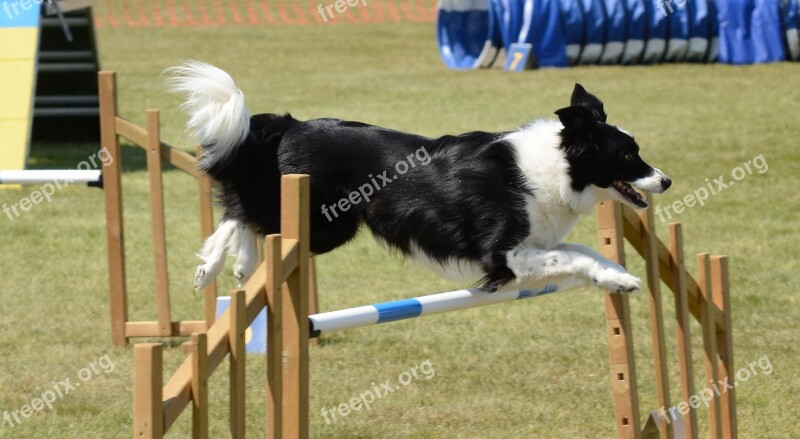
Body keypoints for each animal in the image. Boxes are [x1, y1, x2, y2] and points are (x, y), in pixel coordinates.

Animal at [167, 61, 668, 296]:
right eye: (628, 155)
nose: (665, 181)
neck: (557, 167)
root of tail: (292, 124)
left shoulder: (534, 244)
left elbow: (583, 250)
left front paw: (617, 275)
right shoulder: (502, 254)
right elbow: (575, 256)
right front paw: (621, 281)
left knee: (247, 216)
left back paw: (239, 264)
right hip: (325, 223)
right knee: (241, 211)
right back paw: (214, 266)